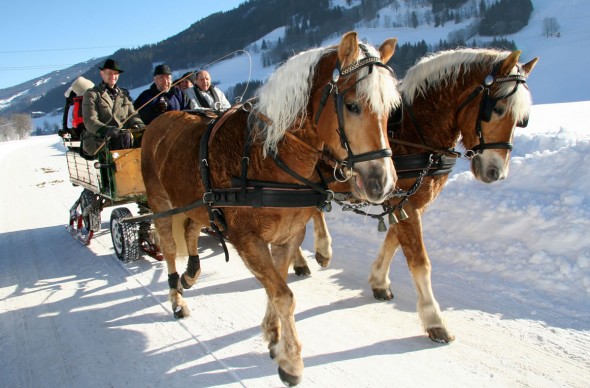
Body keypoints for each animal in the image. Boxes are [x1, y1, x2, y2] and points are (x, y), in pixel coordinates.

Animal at [140, 31, 402, 386]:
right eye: (352, 105)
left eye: (391, 109)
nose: (382, 182)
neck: (267, 155)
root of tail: (158, 121)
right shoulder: (247, 240)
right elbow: (282, 295)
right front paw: (291, 361)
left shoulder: (288, 235)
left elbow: (275, 285)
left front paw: (273, 335)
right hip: (161, 203)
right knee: (168, 248)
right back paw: (177, 298)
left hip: (196, 203)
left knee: (192, 228)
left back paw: (191, 274)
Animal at [294, 47, 540, 342]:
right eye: (498, 108)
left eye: (522, 120)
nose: (496, 172)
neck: (415, 132)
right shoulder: (405, 203)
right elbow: (419, 261)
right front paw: (434, 319)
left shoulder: (407, 201)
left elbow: (393, 240)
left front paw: (379, 280)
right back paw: (314, 253)